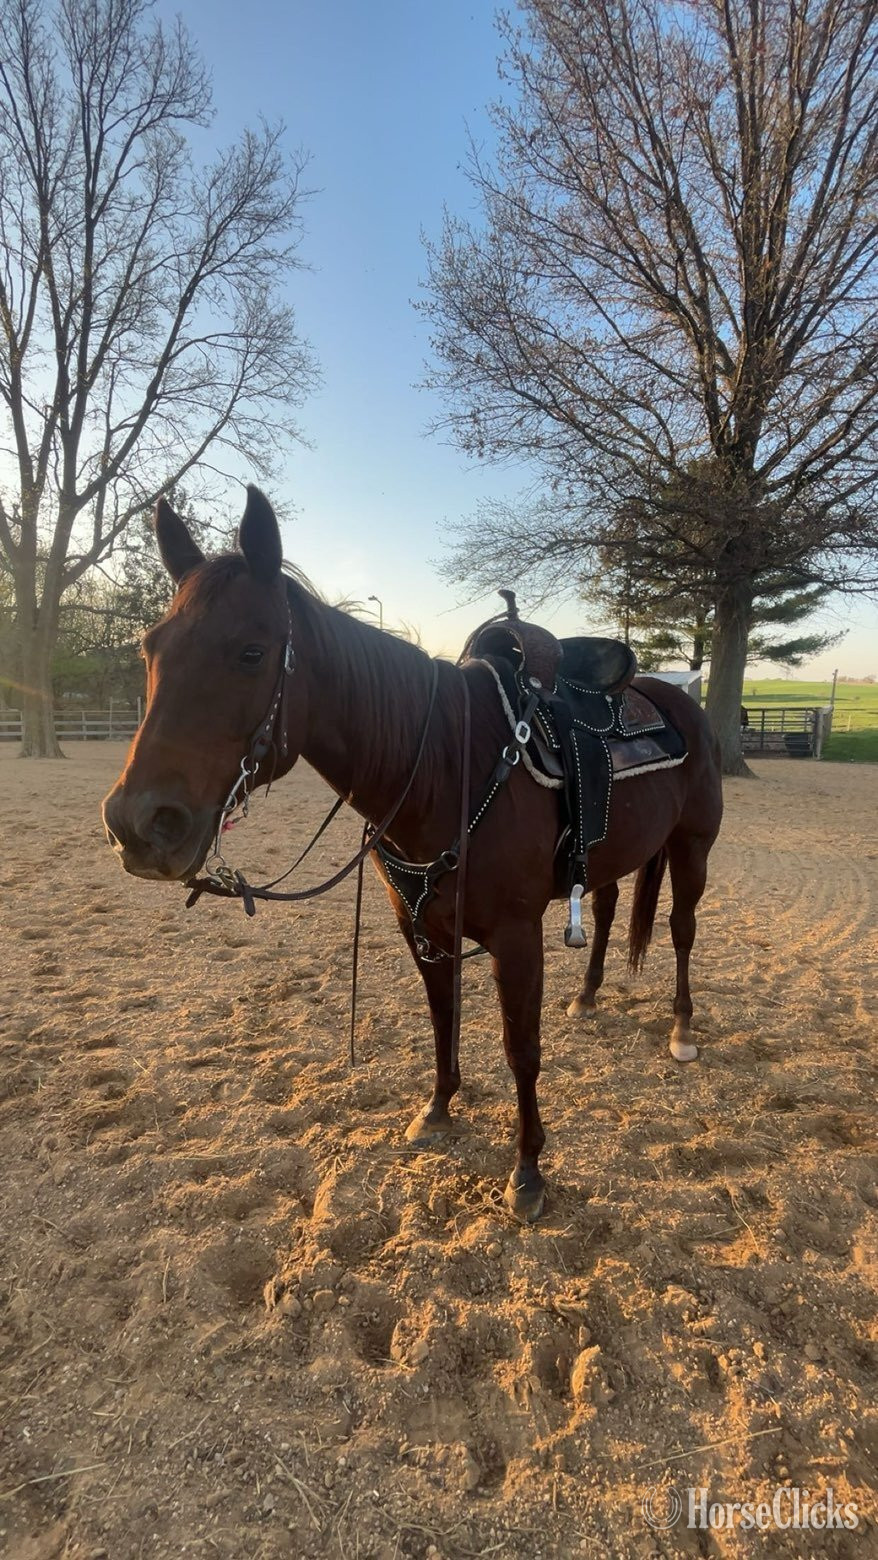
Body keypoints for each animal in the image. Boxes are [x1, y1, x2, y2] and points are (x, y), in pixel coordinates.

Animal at [102, 488, 723, 1223]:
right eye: (150, 647)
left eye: (252, 652)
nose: (138, 825)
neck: (448, 764)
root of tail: (675, 695)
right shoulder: (421, 925)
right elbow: (440, 1018)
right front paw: (439, 1109)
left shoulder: (517, 937)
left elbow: (521, 1048)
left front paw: (528, 1170)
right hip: (610, 856)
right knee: (604, 910)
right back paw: (589, 996)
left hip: (692, 849)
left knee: (681, 931)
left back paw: (681, 1028)